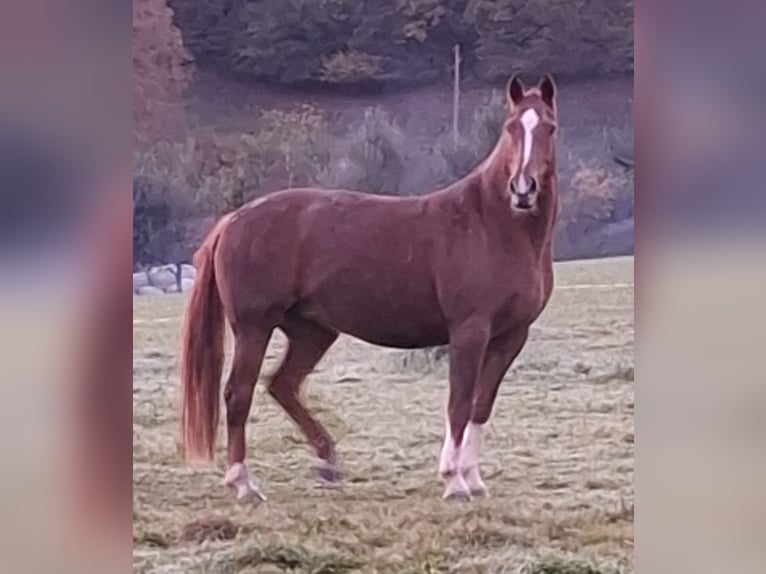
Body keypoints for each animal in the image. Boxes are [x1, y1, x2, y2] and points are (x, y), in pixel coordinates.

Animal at [182, 74, 564, 502]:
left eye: (549, 128)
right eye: (511, 127)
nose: (523, 189)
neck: (493, 224)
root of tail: (233, 220)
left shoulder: (510, 336)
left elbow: (481, 405)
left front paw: (474, 478)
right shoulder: (470, 331)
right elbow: (459, 403)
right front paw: (453, 480)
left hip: (312, 332)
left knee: (282, 385)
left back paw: (328, 461)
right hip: (254, 327)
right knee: (238, 393)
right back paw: (243, 482)